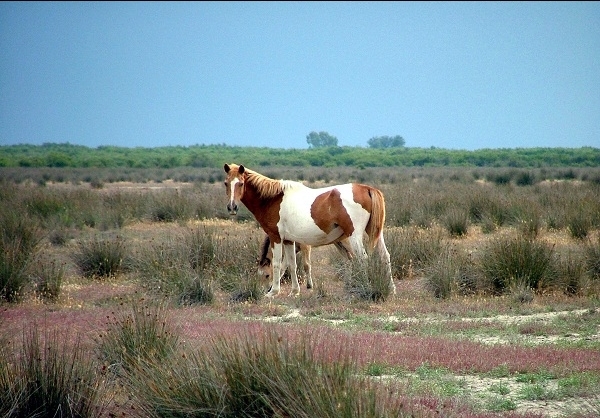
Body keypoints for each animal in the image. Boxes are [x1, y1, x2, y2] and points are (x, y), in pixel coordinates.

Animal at [223, 163, 396, 298]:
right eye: (226, 183)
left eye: (240, 183)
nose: (232, 207)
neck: (272, 199)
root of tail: (367, 188)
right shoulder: (289, 241)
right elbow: (292, 264)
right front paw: (294, 291)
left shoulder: (276, 237)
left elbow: (278, 263)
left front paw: (273, 292)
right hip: (375, 234)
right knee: (384, 256)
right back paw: (391, 289)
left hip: (354, 237)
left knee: (362, 259)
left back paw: (364, 287)